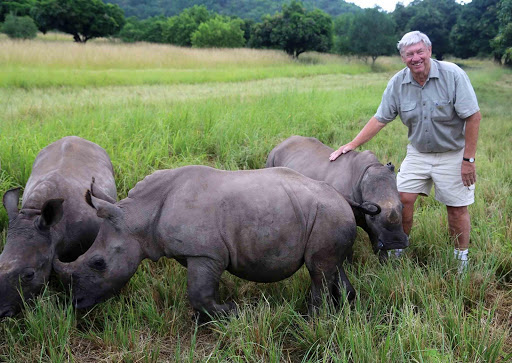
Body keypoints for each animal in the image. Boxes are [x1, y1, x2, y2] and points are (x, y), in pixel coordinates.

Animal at [52, 165, 380, 322]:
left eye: (98, 264)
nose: (76, 304)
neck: (138, 218)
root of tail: (345, 199)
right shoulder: (196, 254)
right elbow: (200, 292)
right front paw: (202, 321)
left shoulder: (205, 254)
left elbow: (199, 293)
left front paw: (232, 313)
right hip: (330, 214)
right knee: (332, 265)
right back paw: (344, 309)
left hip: (326, 213)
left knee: (318, 270)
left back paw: (309, 319)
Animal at [266, 135, 410, 260]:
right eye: (372, 216)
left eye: (402, 207)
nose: (395, 243)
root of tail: (281, 143)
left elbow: (377, 244)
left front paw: (386, 267)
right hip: (271, 158)